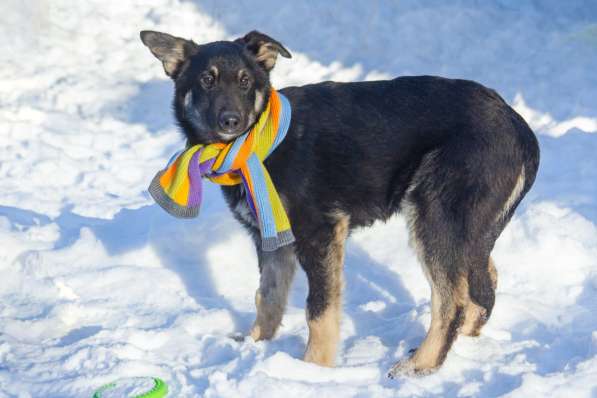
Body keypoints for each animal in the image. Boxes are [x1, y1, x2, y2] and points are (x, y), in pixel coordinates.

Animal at [140, 29, 540, 374]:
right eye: (206, 81)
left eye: (244, 82)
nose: (231, 121)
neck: (258, 144)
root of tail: (518, 126)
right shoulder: (272, 240)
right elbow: (267, 297)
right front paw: (257, 346)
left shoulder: (320, 234)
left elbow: (319, 311)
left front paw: (312, 370)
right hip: (467, 229)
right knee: (481, 282)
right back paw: (463, 344)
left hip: (434, 217)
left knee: (452, 299)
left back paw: (420, 366)